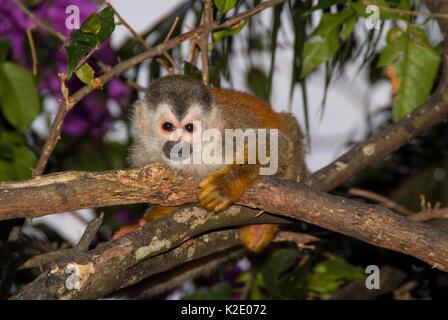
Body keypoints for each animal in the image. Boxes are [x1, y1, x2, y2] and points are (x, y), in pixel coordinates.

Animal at [112, 75, 308, 252]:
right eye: (168, 127)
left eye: (189, 128)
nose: (178, 144)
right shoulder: (143, 155)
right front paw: (145, 222)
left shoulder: (227, 136)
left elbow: (275, 142)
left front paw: (224, 186)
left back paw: (259, 228)